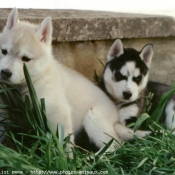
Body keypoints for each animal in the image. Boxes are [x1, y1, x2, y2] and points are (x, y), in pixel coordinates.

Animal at [0, 8, 149, 156]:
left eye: (26, 59)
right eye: (4, 51)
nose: (5, 72)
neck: (39, 76)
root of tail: (116, 119)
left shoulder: (59, 113)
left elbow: (64, 142)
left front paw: (66, 158)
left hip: (93, 117)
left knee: (115, 145)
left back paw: (93, 158)